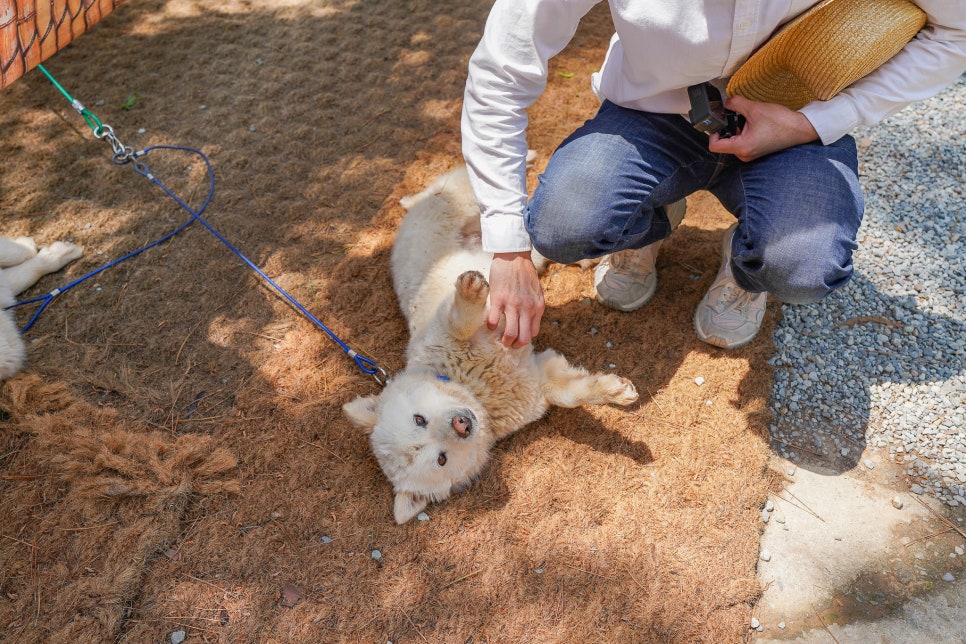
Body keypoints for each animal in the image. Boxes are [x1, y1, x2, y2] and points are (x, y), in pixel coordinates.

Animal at [344, 161, 640, 524]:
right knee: (527, 248)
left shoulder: (446, 321)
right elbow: (573, 393)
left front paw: (471, 291)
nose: (462, 424)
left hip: (465, 196)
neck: (475, 389)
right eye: (440, 459)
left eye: (419, 419)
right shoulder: (539, 377)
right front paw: (614, 391)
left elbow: (459, 320)